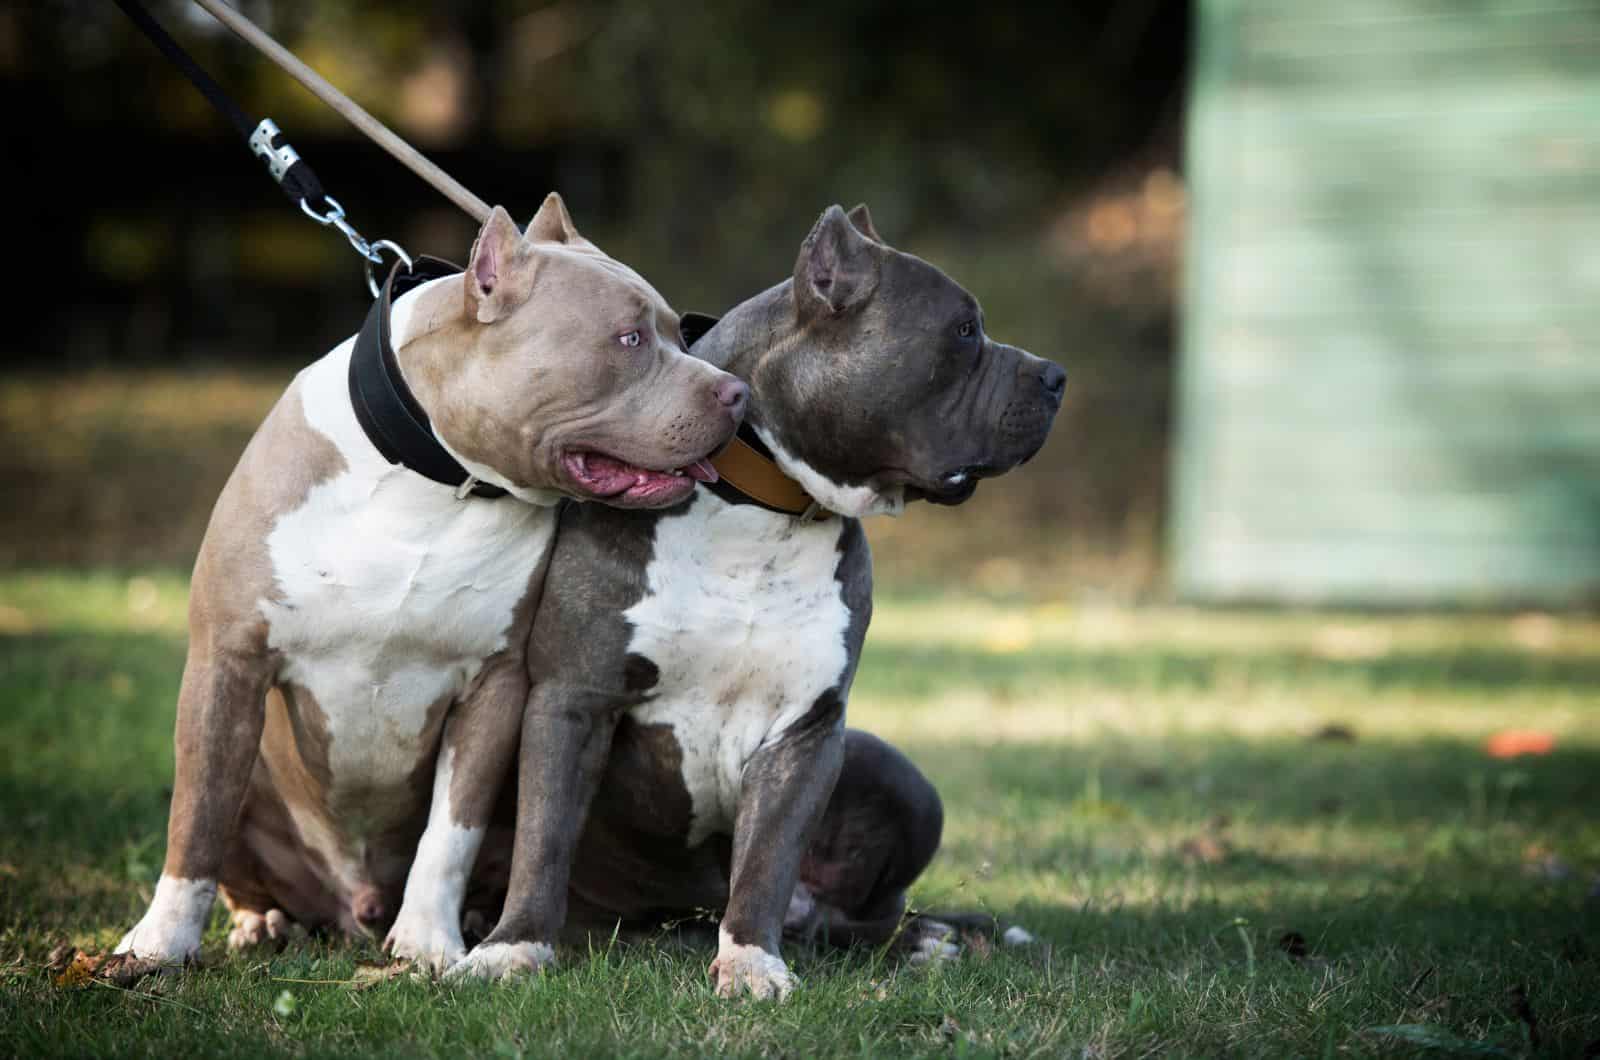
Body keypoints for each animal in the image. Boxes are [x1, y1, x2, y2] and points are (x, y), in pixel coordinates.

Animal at [112, 192, 748, 979]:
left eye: (675, 331)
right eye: (630, 339)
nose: (737, 393)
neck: (427, 482)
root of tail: (350, 908)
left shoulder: (493, 685)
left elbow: (450, 832)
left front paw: (427, 942)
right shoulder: (227, 659)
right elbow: (198, 815)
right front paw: (160, 941)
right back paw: (263, 922)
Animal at [451, 208, 1068, 999]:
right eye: (963, 331)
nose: (1056, 376)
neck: (761, 512)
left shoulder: (807, 731)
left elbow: (767, 863)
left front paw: (749, 962)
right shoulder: (572, 700)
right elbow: (545, 835)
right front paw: (513, 947)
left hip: (899, 777)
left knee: (846, 916)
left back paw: (930, 940)